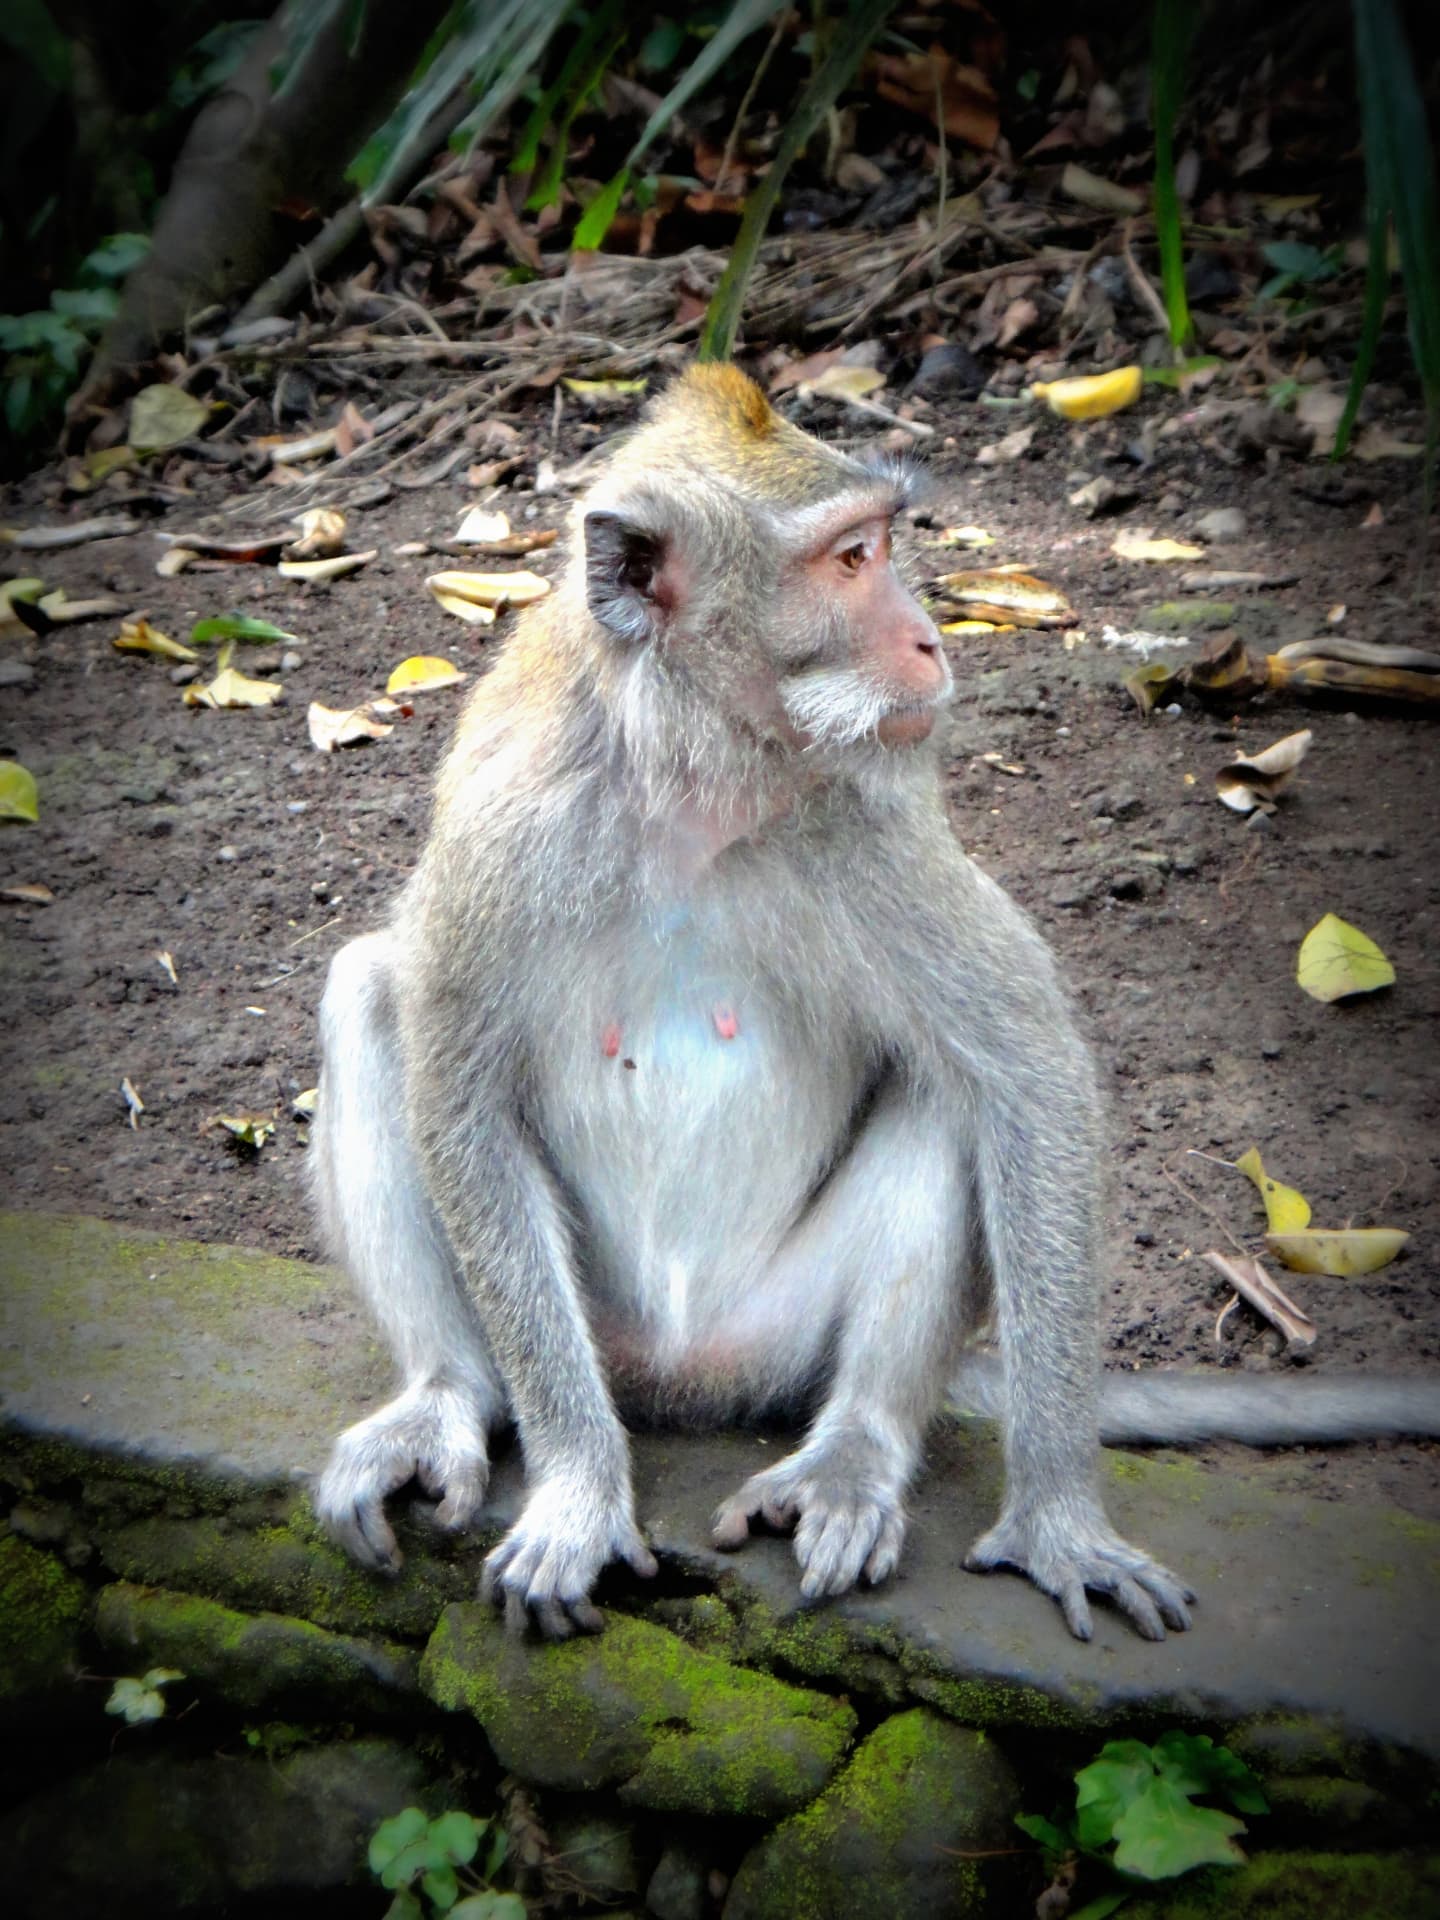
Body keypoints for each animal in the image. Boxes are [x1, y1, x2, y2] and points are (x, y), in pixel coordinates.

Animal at [310, 364, 1440, 1645]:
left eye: (883, 544)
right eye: (851, 559)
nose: (930, 637)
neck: (694, 781)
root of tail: (678, 1381)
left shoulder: (868, 823)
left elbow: (1027, 1074)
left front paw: (1061, 1516)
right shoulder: (507, 827)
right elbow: (459, 1098)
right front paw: (579, 1492)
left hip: (778, 1337)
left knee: (953, 1098)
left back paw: (854, 1452)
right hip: (610, 1332)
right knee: (373, 998)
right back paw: (445, 1396)